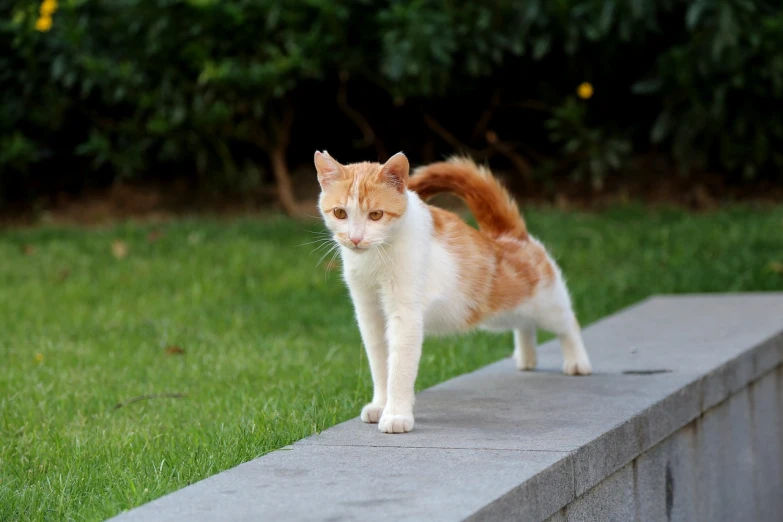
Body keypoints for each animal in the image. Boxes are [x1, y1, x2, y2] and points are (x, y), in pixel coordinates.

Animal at [316, 149, 592, 430]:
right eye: (340, 213)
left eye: (375, 215)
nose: (355, 238)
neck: (375, 259)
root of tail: (509, 236)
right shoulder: (369, 315)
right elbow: (380, 365)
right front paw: (380, 405)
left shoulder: (405, 316)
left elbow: (399, 368)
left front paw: (396, 415)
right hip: (499, 315)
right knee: (524, 323)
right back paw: (527, 358)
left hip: (545, 304)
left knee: (568, 322)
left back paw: (577, 362)